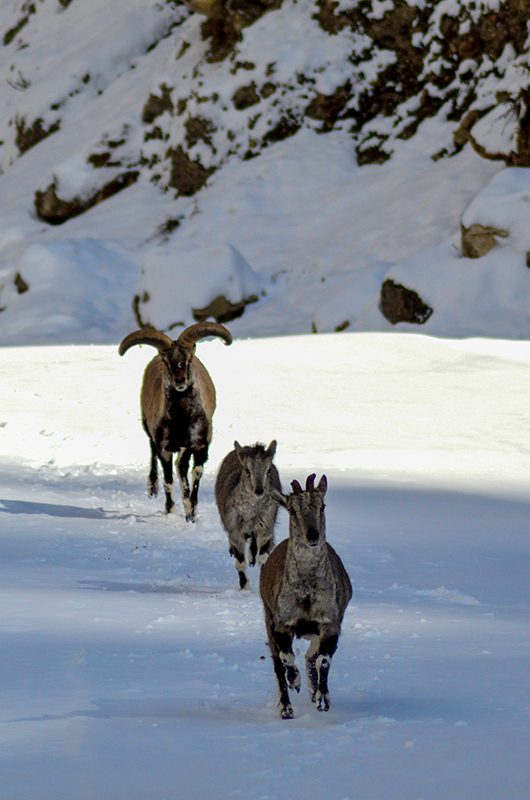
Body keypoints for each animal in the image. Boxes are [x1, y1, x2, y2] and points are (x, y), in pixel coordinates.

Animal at [119, 322, 231, 520]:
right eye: (166, 361)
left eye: (189, 358)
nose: (180, 381)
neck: (182, 421)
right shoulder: (165, 447)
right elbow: (169, 480)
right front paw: (170, 509)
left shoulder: (198, 445)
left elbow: (193, 472)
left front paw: (191, 512)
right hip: (148, 428)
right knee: (152, 451)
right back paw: (152, 488)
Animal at [214, 440, 280, 592]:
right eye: (247, 470)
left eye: (269, 470)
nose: (259, 490)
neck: (251, 512)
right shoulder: (234, 529)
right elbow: (240, 562)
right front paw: (244, 586)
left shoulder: (266, 524)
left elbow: (263, 558)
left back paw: (252, 557)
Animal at [256, 476, 348, 720]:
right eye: (292, 509)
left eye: (322, 505)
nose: (313, 535)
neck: (306, 594)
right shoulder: (281, 621)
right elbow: (285, 658)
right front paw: (294, 681)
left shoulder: (330, 622)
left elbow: (323, 660)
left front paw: (322, 699)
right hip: (267, 616)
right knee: (277, 663)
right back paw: (286, 708)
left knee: (310, 656)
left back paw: (313, 692)